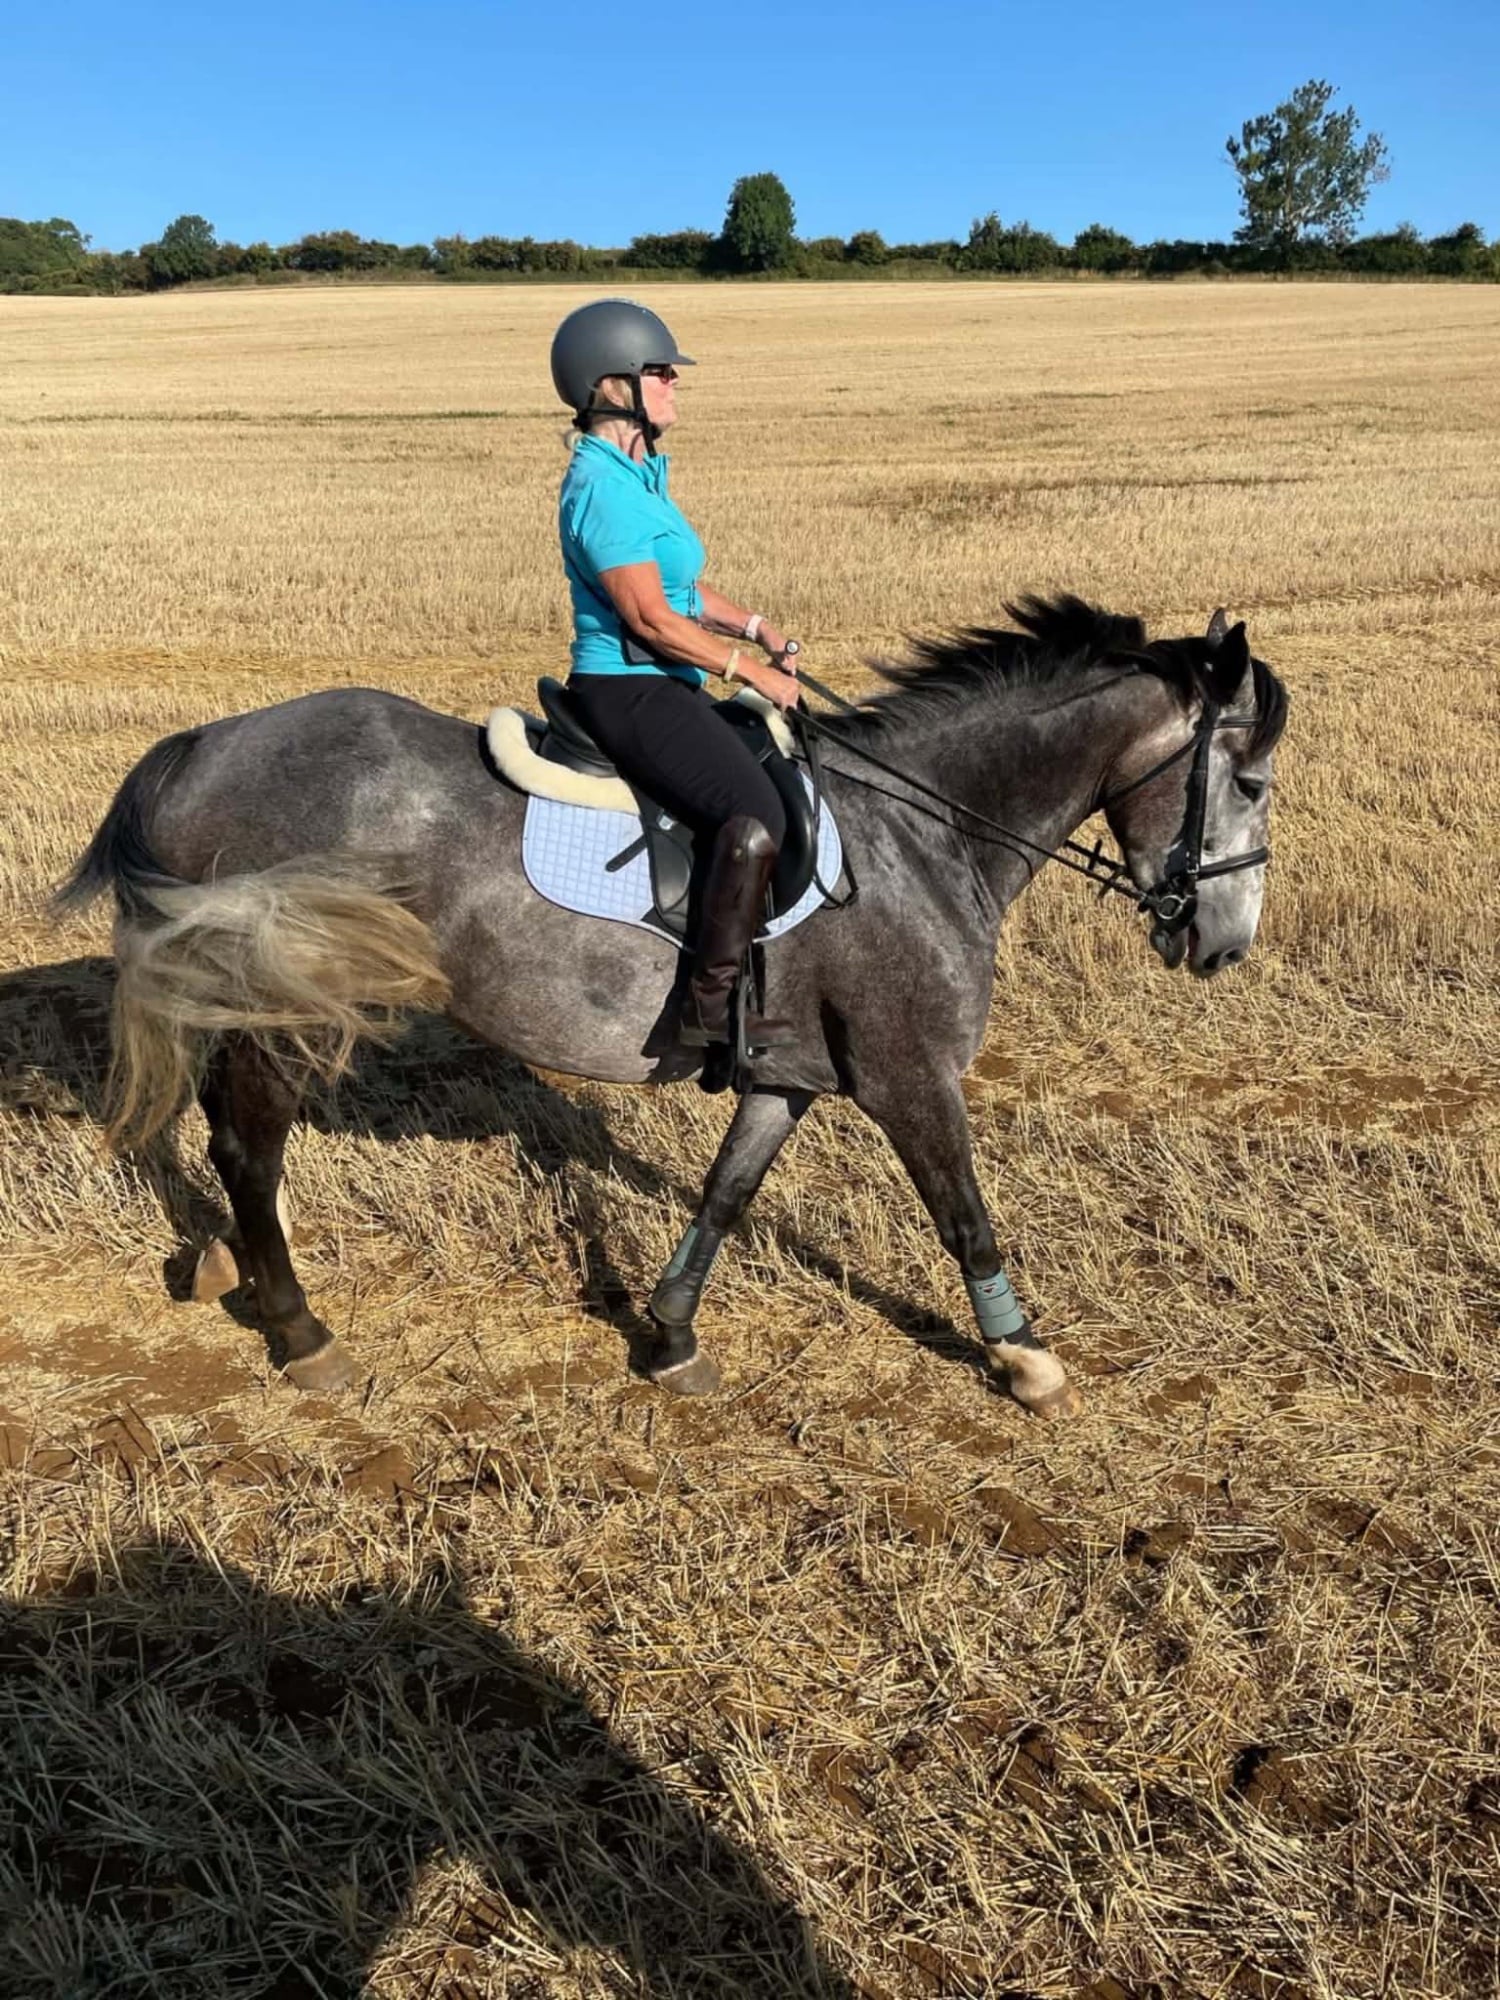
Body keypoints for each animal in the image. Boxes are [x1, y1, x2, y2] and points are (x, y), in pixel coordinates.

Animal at [59, 596, 1288, 1418]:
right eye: (1251, 780)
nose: (1223, 945)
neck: (923, 831)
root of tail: (200, 747)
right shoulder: (907, 1072)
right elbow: (962, 1210)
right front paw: (1022, 1355)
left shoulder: (789, 1075)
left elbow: (725, 1194)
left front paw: (669, 1335)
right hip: (294, 1006)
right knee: (248, 1145)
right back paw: (302, 1329)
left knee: (217, 1132)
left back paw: (224, 1269)